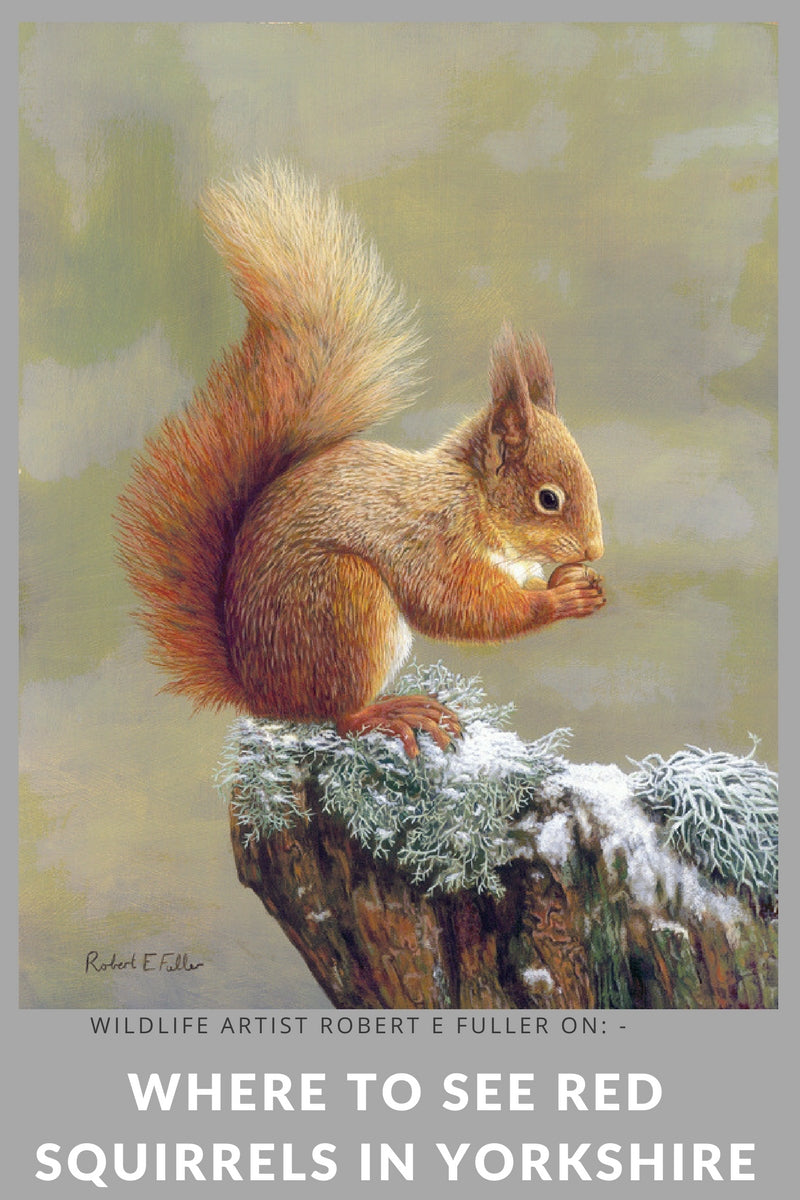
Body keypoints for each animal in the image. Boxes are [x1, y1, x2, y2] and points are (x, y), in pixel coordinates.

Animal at [117, 161, 605, 758]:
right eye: (548, 499)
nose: (595, 549)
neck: (469, 497)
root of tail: (261, 693)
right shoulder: (429, 539)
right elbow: (459, 607)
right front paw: (561, 598)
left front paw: (576, 581)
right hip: (346, 602)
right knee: (339, 714)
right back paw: (391, 712)